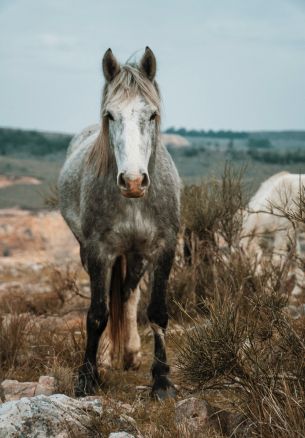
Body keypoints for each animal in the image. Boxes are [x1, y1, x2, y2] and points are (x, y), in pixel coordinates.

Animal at [58, 48, 179, 400]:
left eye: (151, 115)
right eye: (110, 115)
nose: (134, 181)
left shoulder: (164, 248)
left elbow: (157, 311)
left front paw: (162, 381)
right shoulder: (99, 251)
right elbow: (97, 314)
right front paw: (87, 378)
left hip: (137, 255)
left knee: (128, 293)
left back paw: (130, 352)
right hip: (90, 252)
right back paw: (108, 356)